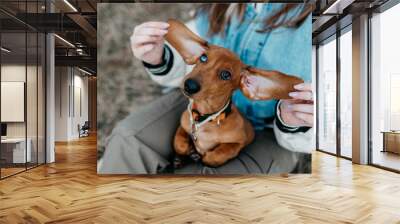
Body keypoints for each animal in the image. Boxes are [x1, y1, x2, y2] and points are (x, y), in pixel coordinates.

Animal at [166, 19, 304, 167]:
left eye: (226, 75)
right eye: (203, 58)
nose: (189, 85)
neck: (205, 120)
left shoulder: (239, 142)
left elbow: (223, 152)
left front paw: (205, 157)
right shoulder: (184, 124)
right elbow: (179, 141)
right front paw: (187, 151)